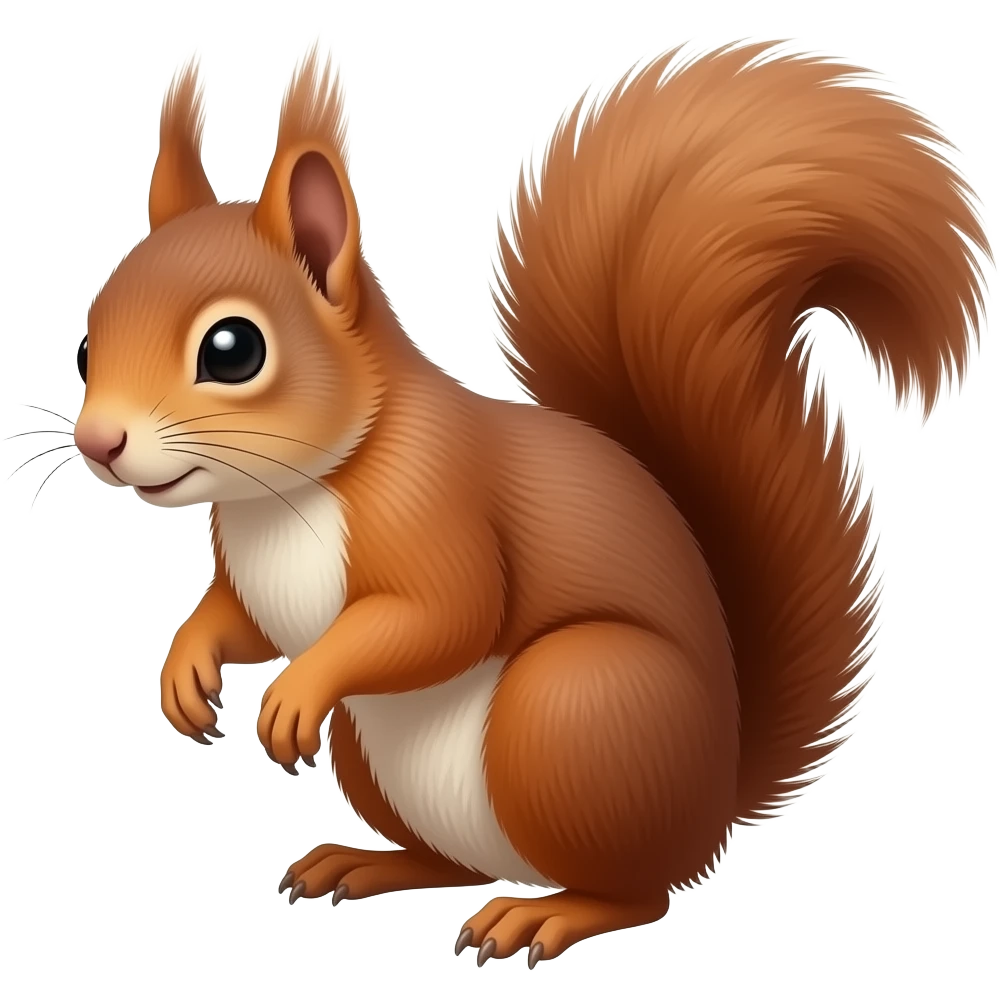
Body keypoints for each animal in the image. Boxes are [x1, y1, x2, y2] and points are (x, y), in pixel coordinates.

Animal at [74, 31, 991, 967]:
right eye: (85, 343)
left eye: (233, 349)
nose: (98, 442)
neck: (287, 494)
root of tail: (713, 800)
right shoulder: (252, 577)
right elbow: (237, 618)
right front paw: (185, 670)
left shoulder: (438, 505)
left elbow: (445, 615)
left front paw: (296, 692)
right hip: (386, 757)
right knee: (453, 863)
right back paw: (368, 864)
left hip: (572, 710)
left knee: (639, 891)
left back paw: (547, 915)